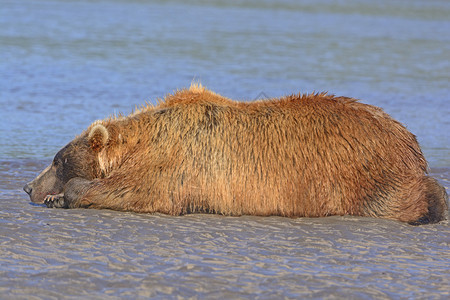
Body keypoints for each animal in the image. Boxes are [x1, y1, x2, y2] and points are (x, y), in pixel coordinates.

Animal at [23, 83, 446, 224]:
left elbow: (141, 192)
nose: (28, 186)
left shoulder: (177, 161)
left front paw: (63, 196)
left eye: (58, 160)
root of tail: (409, 139)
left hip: (365, 173)